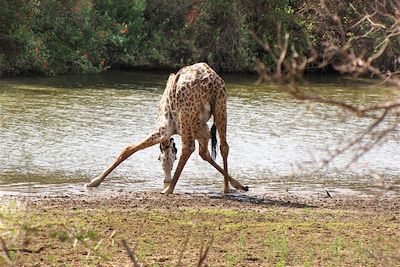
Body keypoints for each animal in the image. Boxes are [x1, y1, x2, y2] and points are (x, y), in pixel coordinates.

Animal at [84, 62, 247, 195]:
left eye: (160, 159)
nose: (166, 179)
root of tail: (212, 83)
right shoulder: (202, 131)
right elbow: (205, 154)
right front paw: (238, 185)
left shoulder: (165, 129)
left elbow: (129, 148)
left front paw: (93, 182)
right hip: (221, 107)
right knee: (224, 146)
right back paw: (225, 189)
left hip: (186, 114)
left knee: (188, 147)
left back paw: (169, 189)